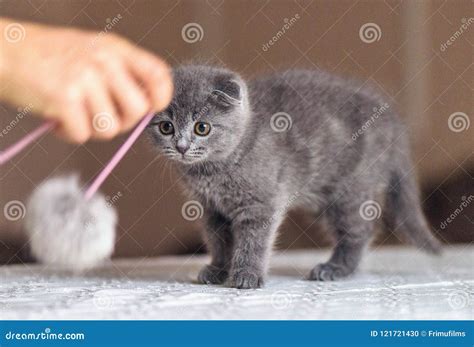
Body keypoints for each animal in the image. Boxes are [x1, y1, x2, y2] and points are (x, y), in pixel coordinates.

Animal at [147, 65, 440, 290]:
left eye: (202, 128)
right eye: (166, 127)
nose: (181, 146)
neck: (213, 171)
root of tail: (391, 118)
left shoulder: (260, 204)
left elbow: (253, 241)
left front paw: (246, 275)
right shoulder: (211, 209)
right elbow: (218, 241)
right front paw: (218, 269)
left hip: (349, 188)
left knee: (362, 229)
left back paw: (335, 268)